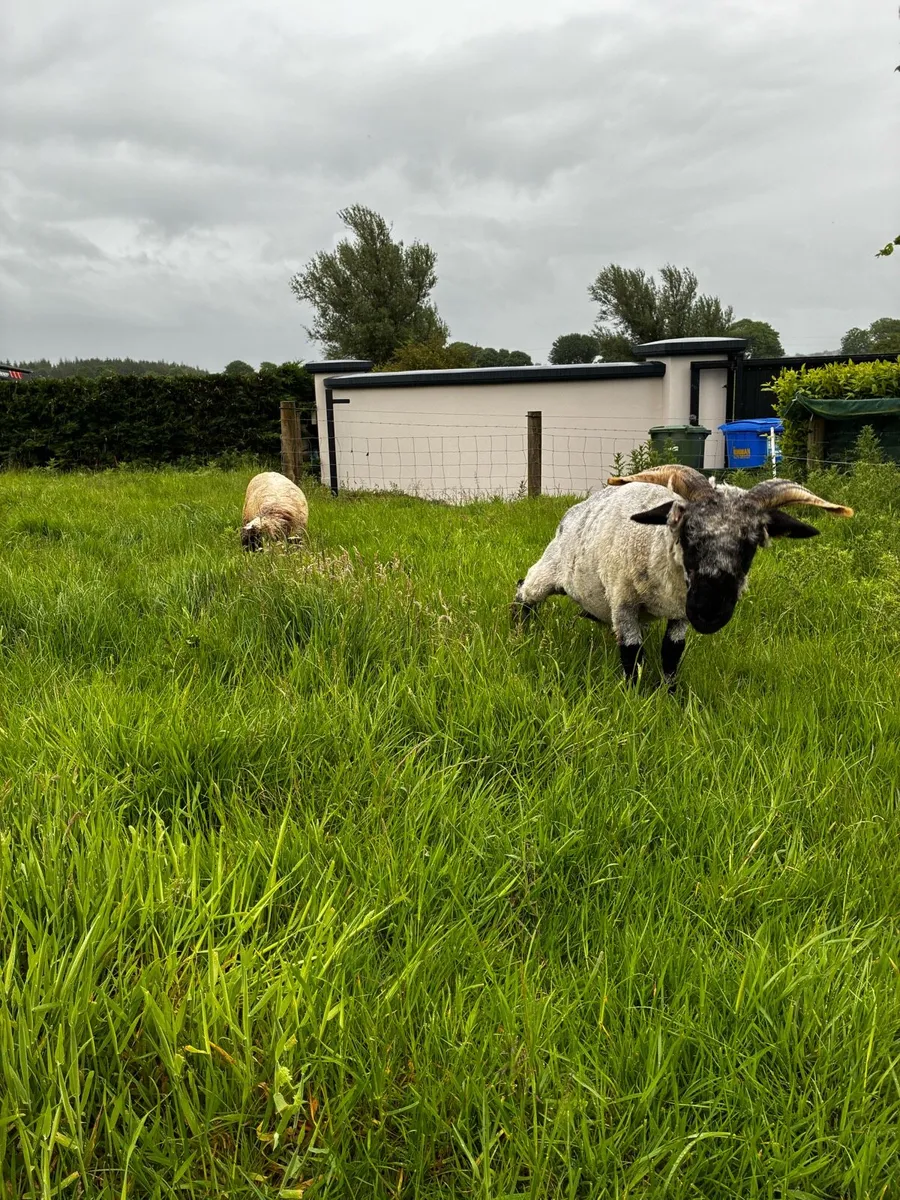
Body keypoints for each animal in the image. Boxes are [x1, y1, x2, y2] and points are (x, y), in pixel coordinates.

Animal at [511, 464, 853, 688]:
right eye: (687, 532)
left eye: (752, 542)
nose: (710, 612)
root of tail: (575, 510)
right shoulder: (623, 602)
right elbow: (632, 654)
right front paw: (633, 697)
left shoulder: (680, 611)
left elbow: (671, 653)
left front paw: (670, 694)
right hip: (551, 569)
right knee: (524, 591)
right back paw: (519, 634)